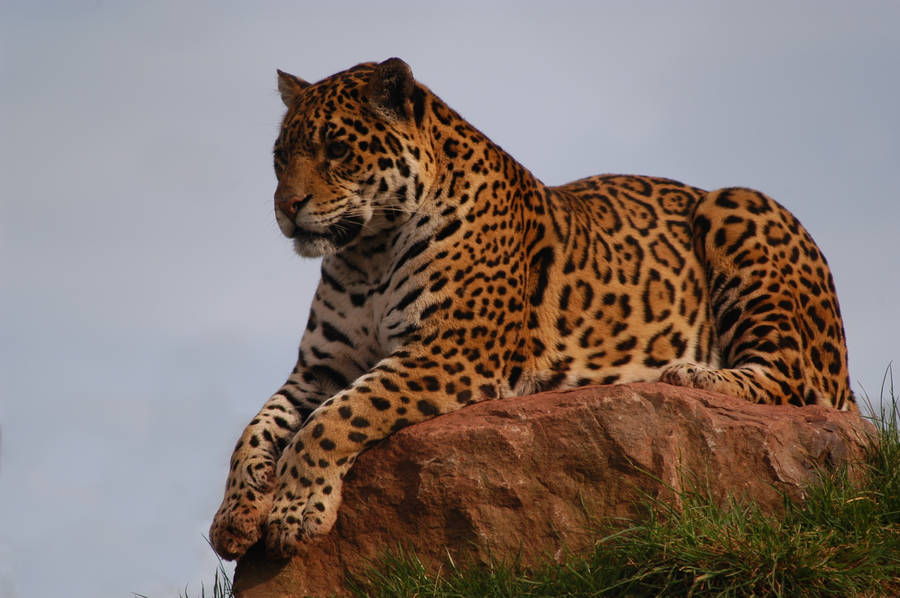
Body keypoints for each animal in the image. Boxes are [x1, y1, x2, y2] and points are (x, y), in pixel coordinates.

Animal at [210, 58, 854, 560]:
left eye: (338, 150)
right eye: (279, 156)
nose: (286, 207)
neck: (368, 250)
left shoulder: (448, 353)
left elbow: (336, 418)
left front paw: (296, 512)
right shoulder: (320, 370)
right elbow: (257, 427)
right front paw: (235, 516)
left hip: (738, 208)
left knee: (791, 383)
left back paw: (693, 374)